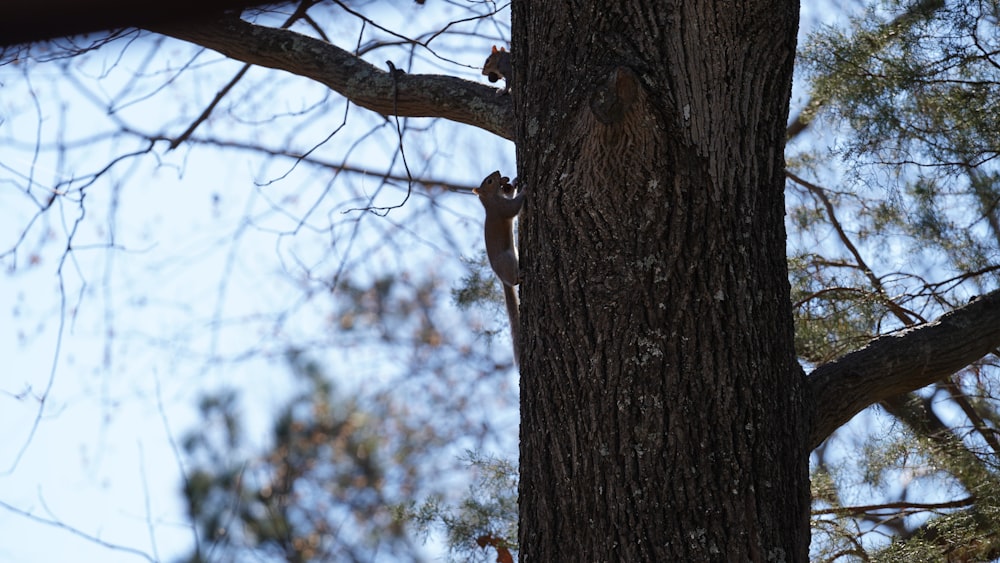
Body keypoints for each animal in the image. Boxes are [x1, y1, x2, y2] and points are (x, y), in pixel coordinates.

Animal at [474, 172, 528, 364]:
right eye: (489, 181)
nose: (498, 172)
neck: (490, 201)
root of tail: (501, 277)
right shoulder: (501, 208)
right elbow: (513, 208)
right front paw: (524, 189)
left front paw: (514, 184)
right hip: (507, 260)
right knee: (513, 280)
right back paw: (519, 277)